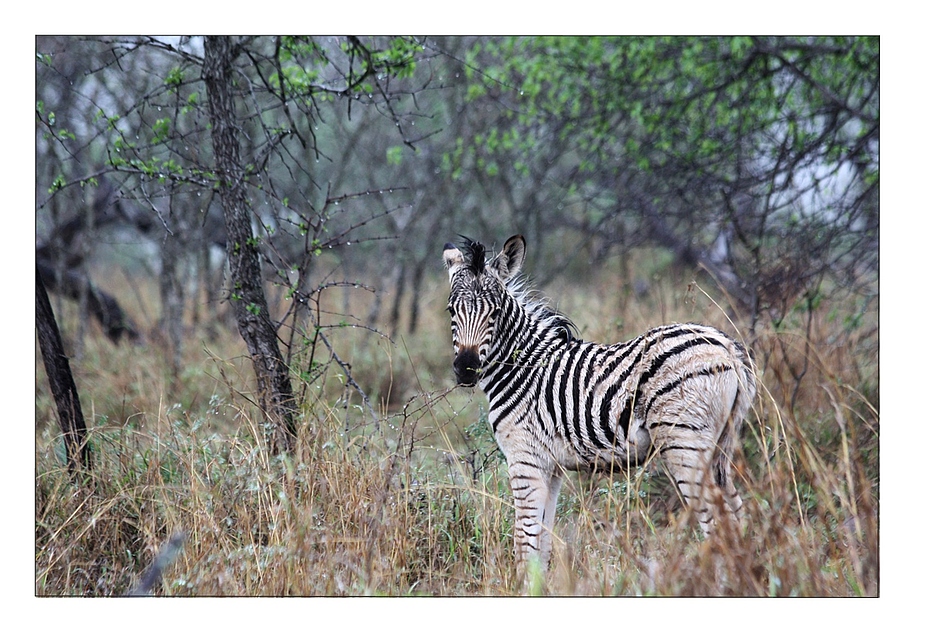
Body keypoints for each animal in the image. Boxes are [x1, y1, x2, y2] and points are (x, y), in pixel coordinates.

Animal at [444, 234, 756, 572]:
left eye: (495, 311)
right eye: (450, 311)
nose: (466, 369)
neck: (524, 368)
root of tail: (725, 345)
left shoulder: (525, 458)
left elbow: (525, 542)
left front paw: (522, 582)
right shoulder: (551, 467)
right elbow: (542, 541)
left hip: (684, 442)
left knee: (717, 522)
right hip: (720, 446)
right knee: (737, 515)